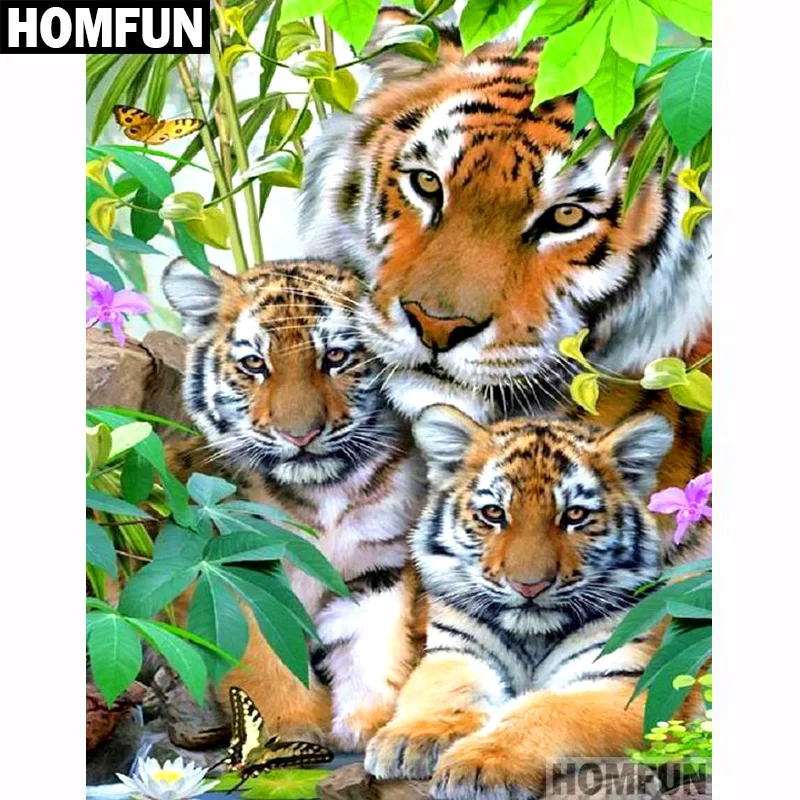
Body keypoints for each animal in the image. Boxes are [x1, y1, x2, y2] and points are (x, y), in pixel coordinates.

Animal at [161, 258, 428, 751]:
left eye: (337, 357)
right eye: (254, 364)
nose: (300, 435)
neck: (324, 493)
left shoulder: (378, 565)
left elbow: (370, 641)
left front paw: (368, 722)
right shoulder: (238, 570)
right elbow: (263, 655)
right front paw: (291, 728)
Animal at [365, 404, 704, 798]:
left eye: (575, 515)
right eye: (494, 513)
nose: (529, 586)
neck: (532, 636)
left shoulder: (630, 684)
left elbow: (545, 709)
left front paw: (480, 765)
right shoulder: (456, 651)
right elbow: (447, 688)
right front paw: (410, 739)